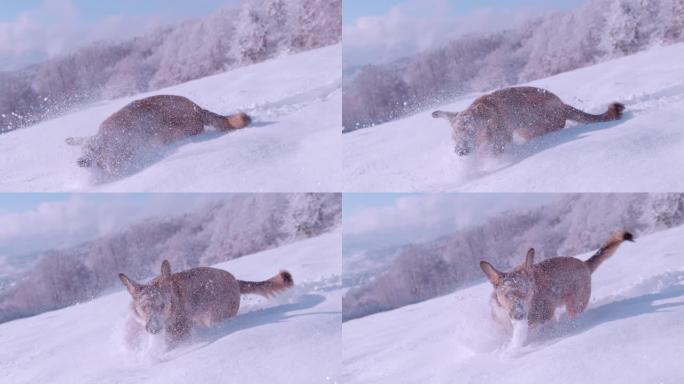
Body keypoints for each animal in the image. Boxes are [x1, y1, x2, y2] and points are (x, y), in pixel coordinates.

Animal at [118, 260, 294, 346]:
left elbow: (171, 345)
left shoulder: (180, 329)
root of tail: (235, 281)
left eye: (162, 306)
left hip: (216, 315)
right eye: (143, 308)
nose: (153, 329)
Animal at [432, 87, 624, 156]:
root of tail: (562, 105)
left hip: (530, 128)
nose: (460, 151)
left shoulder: (500, 141)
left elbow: (493, 150)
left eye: (471, 131)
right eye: (455, 134)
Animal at [478, 230, 632, 332]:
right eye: (506, 295)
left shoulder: (544, 316)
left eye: (526, 292)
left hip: (574, 304)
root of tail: (584, 264)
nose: (519, 314)